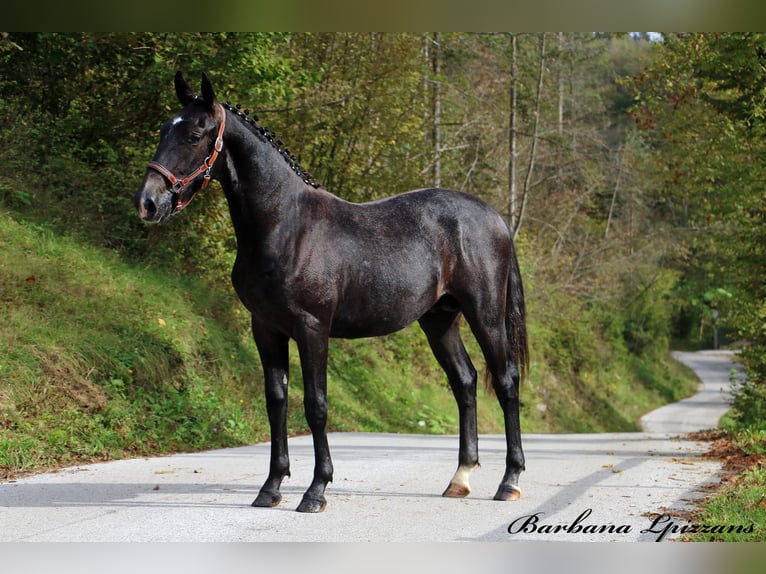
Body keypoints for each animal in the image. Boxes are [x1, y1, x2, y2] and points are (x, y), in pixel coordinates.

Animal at [135, 72, 528, 512]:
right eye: (164, 129)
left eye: (194, 134)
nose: (148, 202)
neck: (286, 225)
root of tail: (495, 218)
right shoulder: (266, 329)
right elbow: (276, 401)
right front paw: (270, 487)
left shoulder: (312, 329)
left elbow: (316, 405)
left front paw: (316, 490)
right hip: (439, 320)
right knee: (465, 381)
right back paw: (460, 478)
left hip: (485, 315)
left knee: (506, 381)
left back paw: (509, 481)